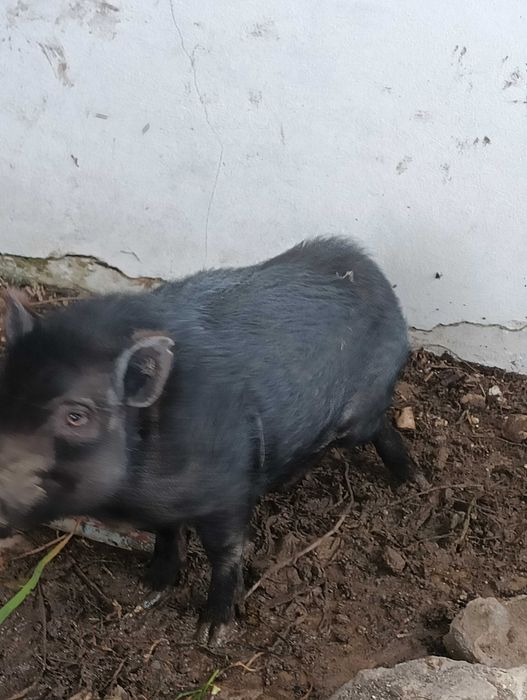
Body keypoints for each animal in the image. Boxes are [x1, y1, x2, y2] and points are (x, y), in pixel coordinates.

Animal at [0, 236, 425, 644]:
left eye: (76, 416)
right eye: (7, 389)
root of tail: (372, 272)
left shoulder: (228, 492)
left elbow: (226, 552)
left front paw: (211, 634)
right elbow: (168, 536)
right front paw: (148, 588)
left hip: (359, 414)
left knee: (379, 426)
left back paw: (413, 481)